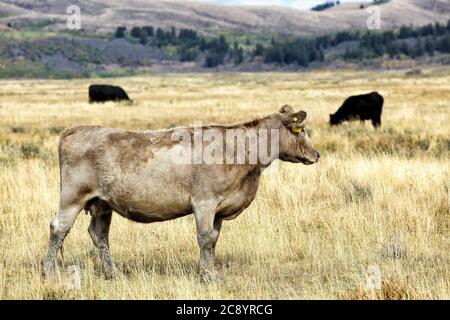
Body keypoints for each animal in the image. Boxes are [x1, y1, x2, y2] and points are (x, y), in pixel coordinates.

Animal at [41, 105, 316, 282]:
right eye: (301, 129)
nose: (316, 154)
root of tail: (75, 130)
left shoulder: (219, 208)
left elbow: (214, 239)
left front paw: (207, 272)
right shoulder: (204, 202)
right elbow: (205, 238)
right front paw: (209, 277)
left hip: (101, 204)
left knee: (99, 236)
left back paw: (113, 273)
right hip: (72, 196)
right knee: (59, 228)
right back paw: (47, 271)